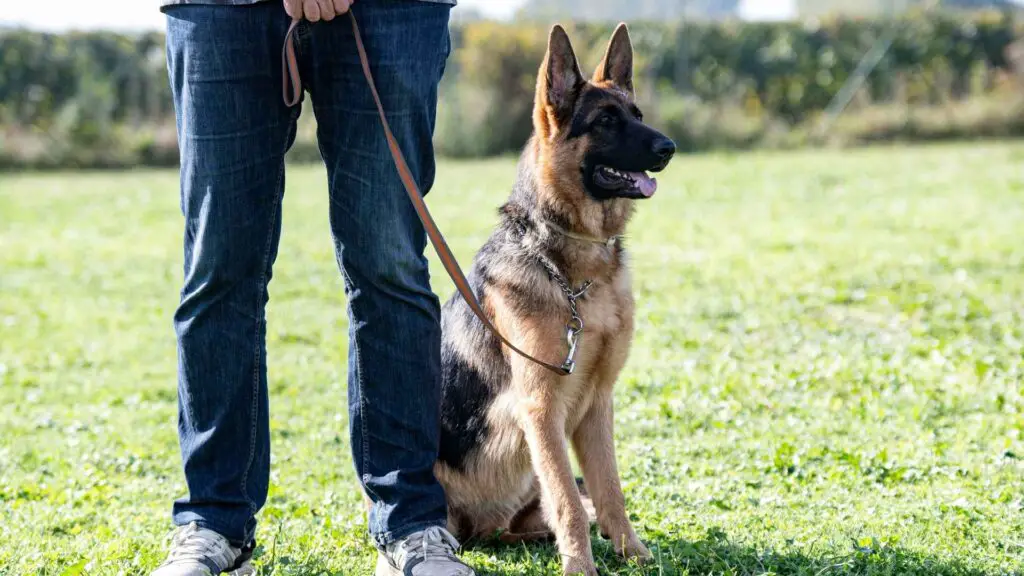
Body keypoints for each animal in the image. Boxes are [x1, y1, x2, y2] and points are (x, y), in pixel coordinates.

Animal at [436, 23, 675, 573]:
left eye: (637, 115)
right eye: (605, 121)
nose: (670, 147)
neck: (575, 269)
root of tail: (482, 527)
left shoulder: (597, 404)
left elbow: (609, 490)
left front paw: (631, 552)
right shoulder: (542, 410)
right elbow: (566, 496)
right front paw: (581, 567)